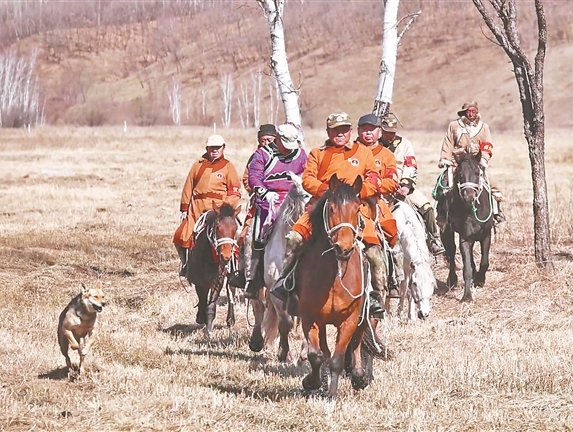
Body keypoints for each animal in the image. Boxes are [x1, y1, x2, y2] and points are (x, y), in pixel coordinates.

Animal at [186, 202, 241, 333]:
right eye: (217, 227)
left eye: (235, 228)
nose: (226, 256)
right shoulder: (199, 281)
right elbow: (202, 299)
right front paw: (201, 317)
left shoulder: (217, 281)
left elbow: (211, 306)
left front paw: (208, 330)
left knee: (231, 290)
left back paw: (230, 320)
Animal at [247, 173, 310, 363]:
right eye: (306, 195)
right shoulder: (276, 291)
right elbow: (285, 322)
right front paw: (285, 354)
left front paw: (305, 353)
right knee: (259, 308)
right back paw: (256, 342)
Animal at [295, 174, 383, 398]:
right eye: (332, 208)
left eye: (357, 209)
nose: (343, 248)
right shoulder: (310, 318)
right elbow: (317, 356)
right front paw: (312, 382)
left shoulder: (350, 320)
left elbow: (337, 359)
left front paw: (333, 393)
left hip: (365, 316)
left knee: (358, 343)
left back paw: (360, 376)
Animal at [440, 152, 494, 302]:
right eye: (460, 174)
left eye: (477, 172)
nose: (469, 196)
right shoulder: (464, 238)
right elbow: (467, 268)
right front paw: (467, 296)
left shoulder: (486, 235)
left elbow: (484, 261)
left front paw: (480, 280)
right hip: (446, 232)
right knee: (451, 253)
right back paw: (452, 279)